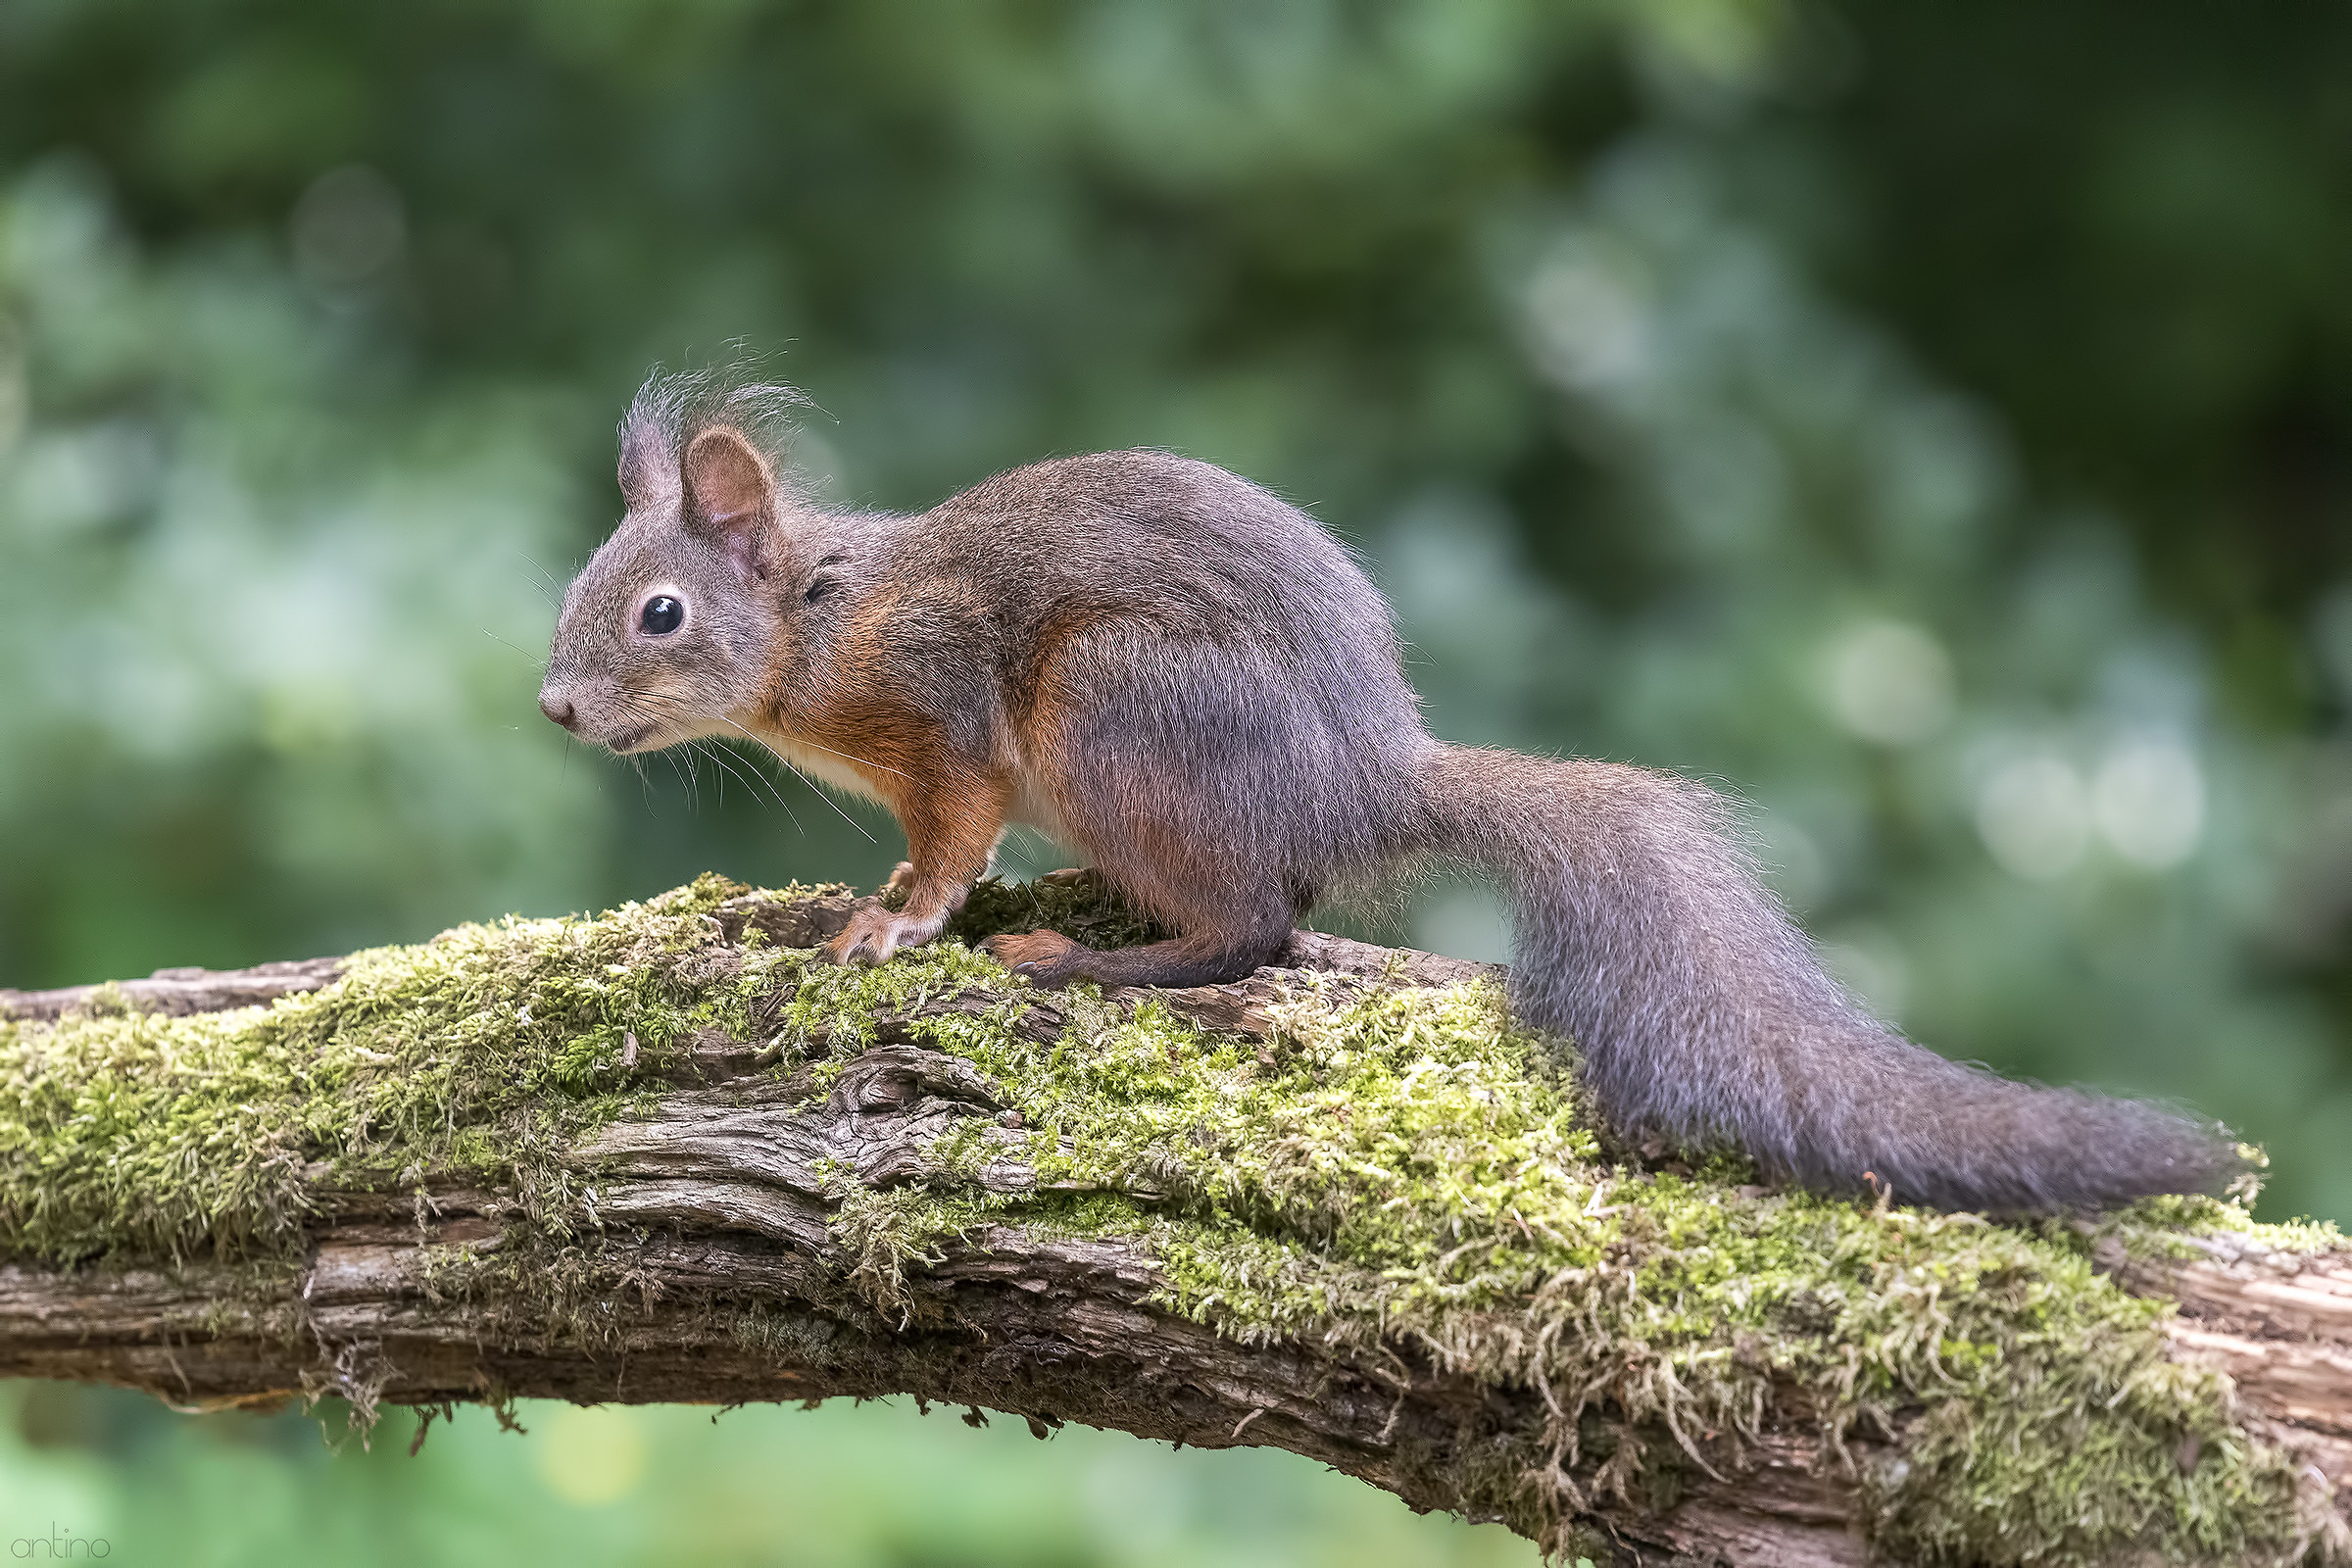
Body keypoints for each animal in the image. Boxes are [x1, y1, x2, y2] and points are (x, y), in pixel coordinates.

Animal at [539, 368, 2245, 1214]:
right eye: (585, 587)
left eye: (660, 615)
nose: (553, 707)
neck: (817, 621)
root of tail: (1366, 781)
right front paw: (872, 902)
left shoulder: (944, 715)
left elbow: (952, 836)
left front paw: (900, 922)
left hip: (1116, 713)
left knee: (1256, 929)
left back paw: (1095, 958)